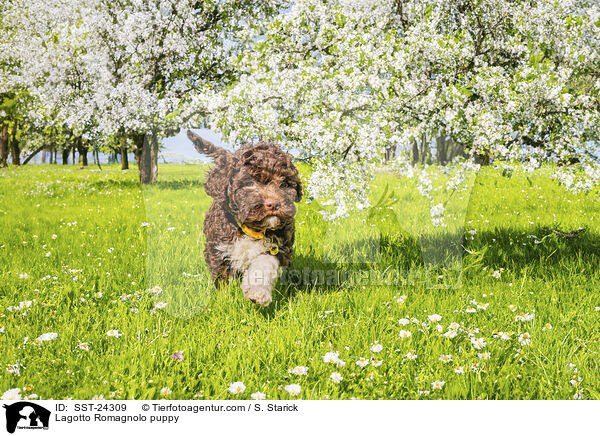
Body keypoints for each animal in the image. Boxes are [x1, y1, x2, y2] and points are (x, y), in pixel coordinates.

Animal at [186, 130, 302, 306]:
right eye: (249, 183)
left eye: (284, 184)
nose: (274, 204)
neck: (251, 229)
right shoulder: (219, 249)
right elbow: (222, 278)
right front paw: (222, 300)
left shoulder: (278, 247)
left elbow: (264, 264)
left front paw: (257, 292)